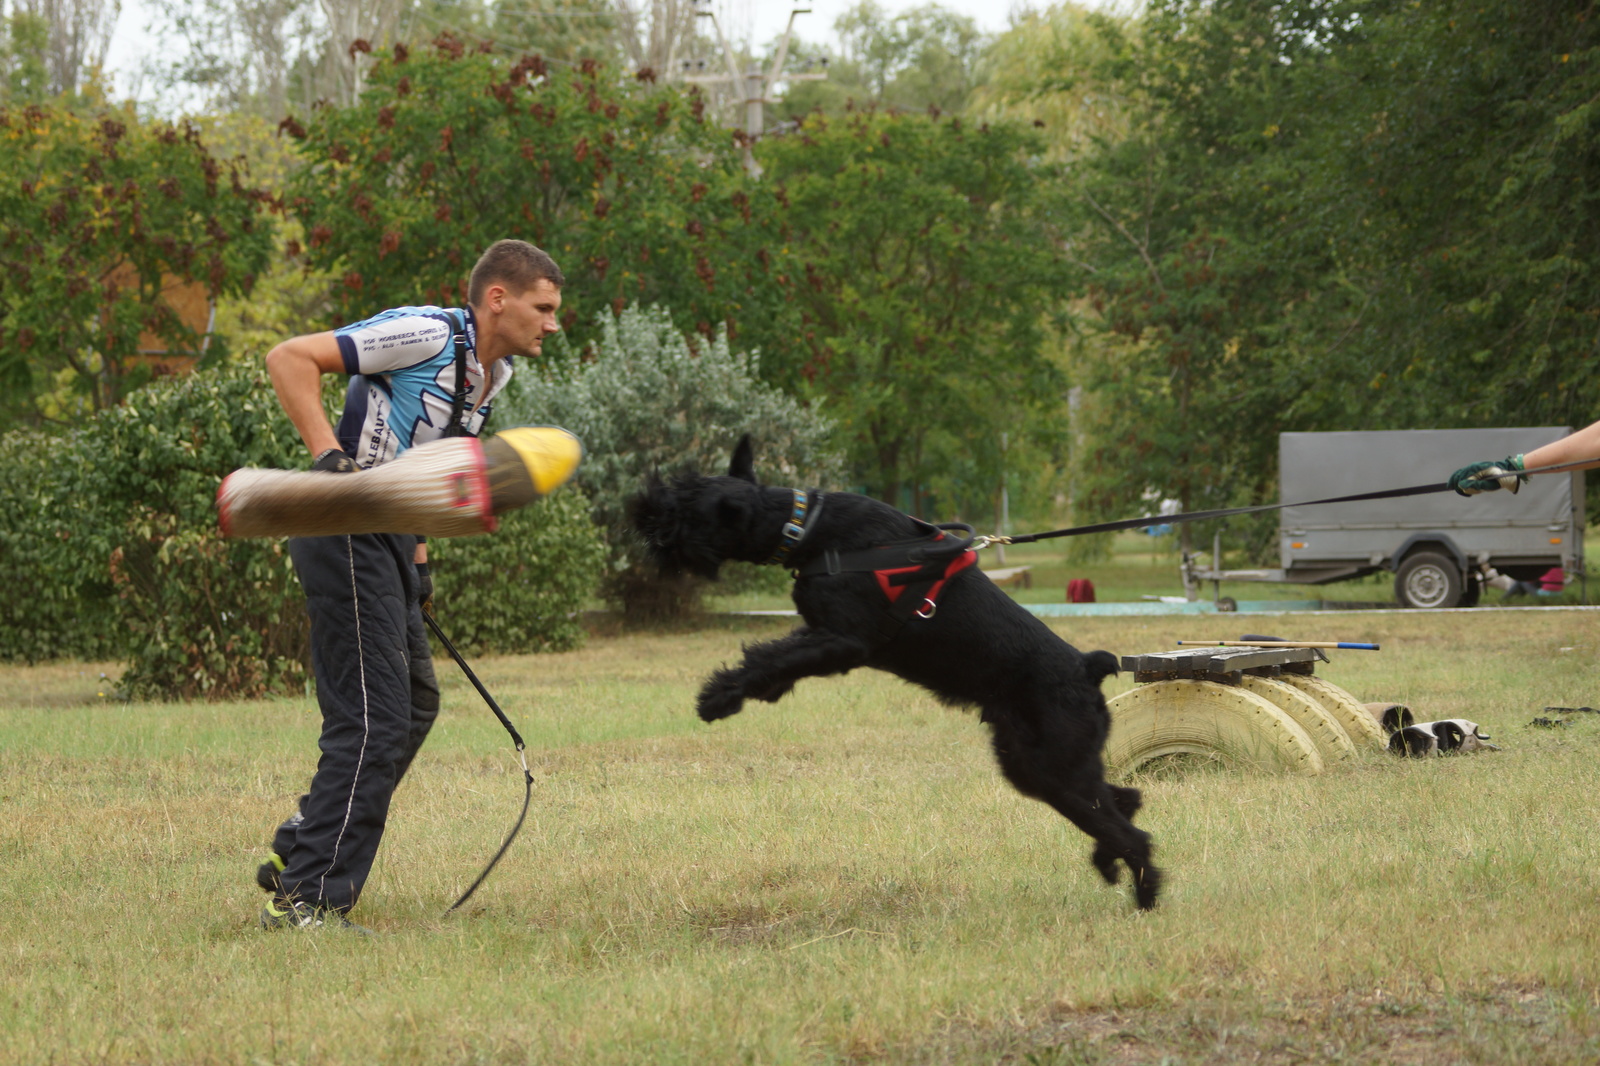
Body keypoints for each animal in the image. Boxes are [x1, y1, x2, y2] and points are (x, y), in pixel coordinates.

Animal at [627, 435, 1164, 909]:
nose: (643, 510)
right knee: (1124, 798)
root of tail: (1086, 668)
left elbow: (771, 656)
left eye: (686, 507)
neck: (806, 529)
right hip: (1038, 767)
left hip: (1054, 768)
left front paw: (718, 697)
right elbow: (780, 657)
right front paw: (750, 691)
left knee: (1131, 831)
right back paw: (1108, 862)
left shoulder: (845, 640)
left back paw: (1143, 894)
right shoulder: (822, 634)